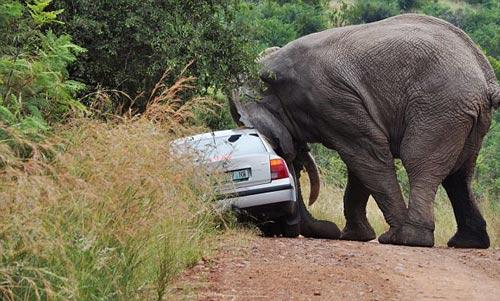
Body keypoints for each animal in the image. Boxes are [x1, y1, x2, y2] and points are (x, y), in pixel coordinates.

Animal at [229, 14, 498, 247]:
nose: (328, 229)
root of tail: (487, 80)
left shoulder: (330, 97)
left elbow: (366, 155)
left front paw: (380, 235)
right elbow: (361, 163)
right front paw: (355, 236)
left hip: (439, 106)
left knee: (418, 160)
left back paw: (406, 238)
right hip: (464, 115)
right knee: (460, 175)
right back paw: (467, 243)